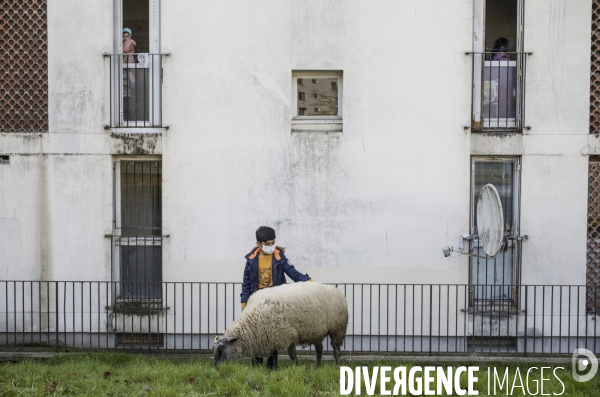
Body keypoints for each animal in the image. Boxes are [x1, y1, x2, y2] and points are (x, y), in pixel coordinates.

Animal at [214, 282, 346, 368]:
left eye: (220, 350)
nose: (216, 368)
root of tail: (334, 288)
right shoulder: (272, 336)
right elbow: (274, 355)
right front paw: (275, 369)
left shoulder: (289, 334)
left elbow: (292, 355)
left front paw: (296, 367)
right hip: (316, 329)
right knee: (319, 348)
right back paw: (318, 366)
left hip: (337, 328)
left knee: (335, 348)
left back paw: (337, 364)